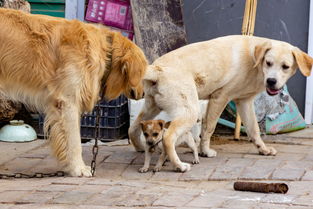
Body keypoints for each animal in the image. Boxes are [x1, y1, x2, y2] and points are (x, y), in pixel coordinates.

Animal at [0, 8, 147, 176]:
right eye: (143, 72)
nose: (144, 94)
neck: (106, 51)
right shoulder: (68, 102)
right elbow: (75, 140)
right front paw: (79, 169)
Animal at [129, 35, 312, 171]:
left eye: (285, 66)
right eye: (268, 63)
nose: (271, 81)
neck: (255, 59)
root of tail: (157, 69)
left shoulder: (244, 101)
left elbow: (253, 130)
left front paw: (263, 149)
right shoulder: (220, 97)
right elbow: (208, 129)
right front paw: (205, 152)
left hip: (152, 106)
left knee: (134, 127)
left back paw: (140, 148)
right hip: (190, 111)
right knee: (168, 137)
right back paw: (180, 166)